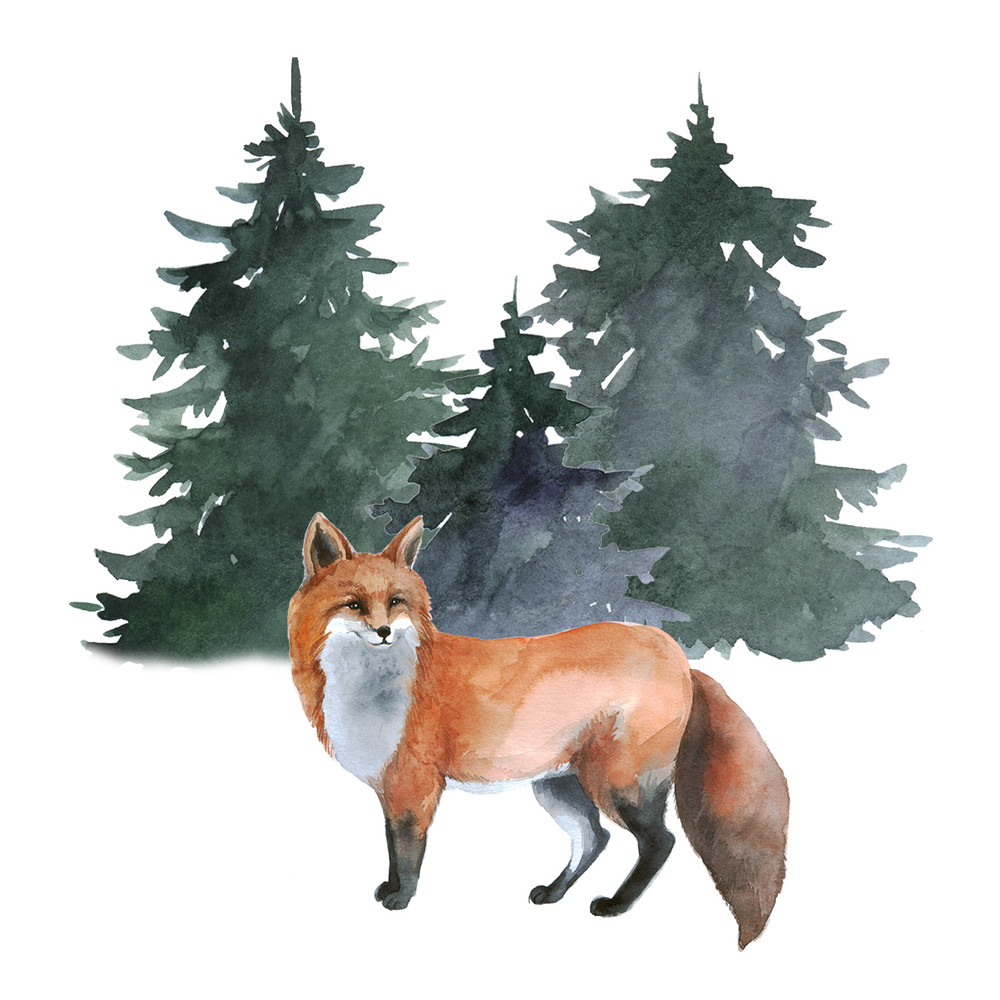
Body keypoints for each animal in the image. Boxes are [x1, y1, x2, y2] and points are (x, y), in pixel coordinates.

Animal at [288, 513, 790, 948]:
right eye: (354, 605)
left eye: (395, 601)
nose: (384, 631)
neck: (376, 687)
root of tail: (682, 659)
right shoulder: (391, 788)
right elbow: (393, 845)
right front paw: (390, 888)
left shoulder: (416, 784)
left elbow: (408, 851)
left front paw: (402, 899)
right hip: (560, 789)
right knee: (595, 840)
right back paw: (554, 893)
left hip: (617, 785)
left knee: (659, 843)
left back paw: (615, 906)